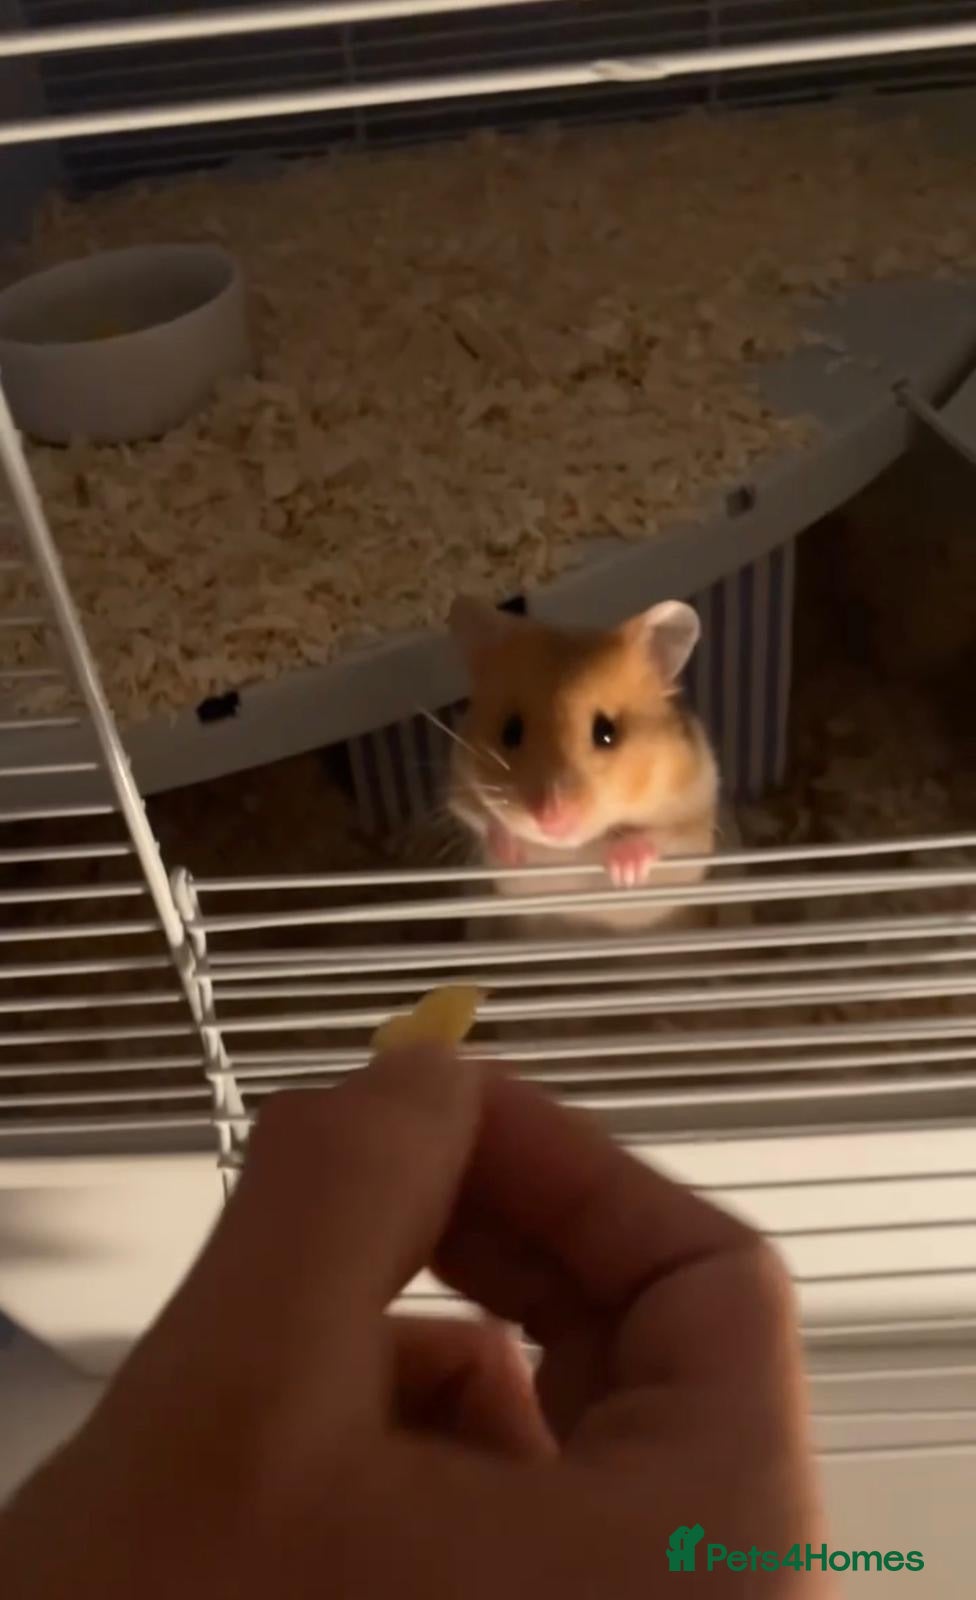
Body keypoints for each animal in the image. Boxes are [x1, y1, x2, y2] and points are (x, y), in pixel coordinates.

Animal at [446, 596, 720, 935]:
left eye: (607, 732)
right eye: (510, 732)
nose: (551, 820)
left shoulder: (696, 813)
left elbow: (662, 835)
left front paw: (624, 872)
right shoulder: (459, 789)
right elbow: (482, 819)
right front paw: (510, 852)